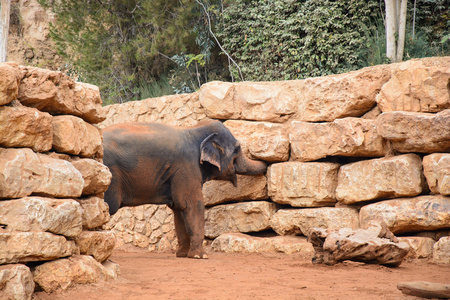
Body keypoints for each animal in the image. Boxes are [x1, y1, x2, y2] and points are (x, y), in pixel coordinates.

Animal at [103, 118, 268, 258]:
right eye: (237, 149)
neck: (194, 129)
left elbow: (178, 208)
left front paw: (182, 255)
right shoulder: (186, 165)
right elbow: (192, 204)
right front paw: (200, 256)